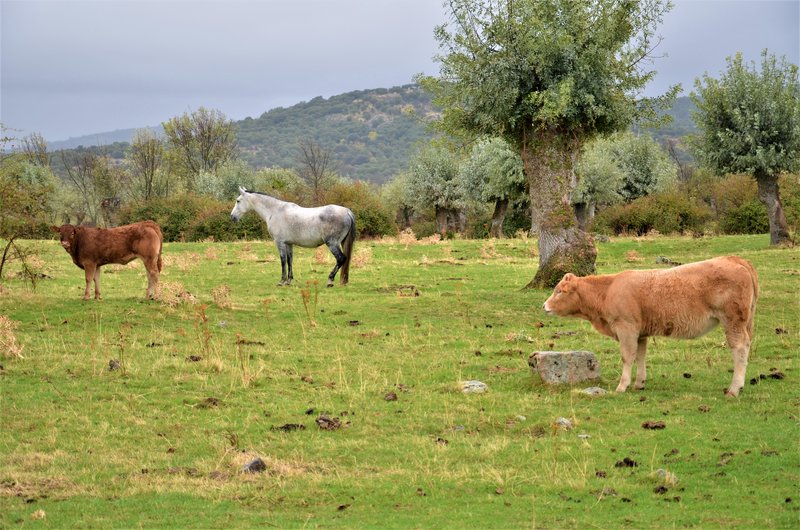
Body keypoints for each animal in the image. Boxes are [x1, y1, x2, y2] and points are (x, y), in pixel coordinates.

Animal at [540, 254, 760, 394]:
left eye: (559, 291)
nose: (544, 306)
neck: (608, 290)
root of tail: (734, 259)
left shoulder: (626, 328)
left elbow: (627, 356)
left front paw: (622, 386)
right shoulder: (641, 333)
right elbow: (640, 356)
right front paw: (639, 383)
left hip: (733, 321)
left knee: (739, 348)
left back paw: (734, 388)